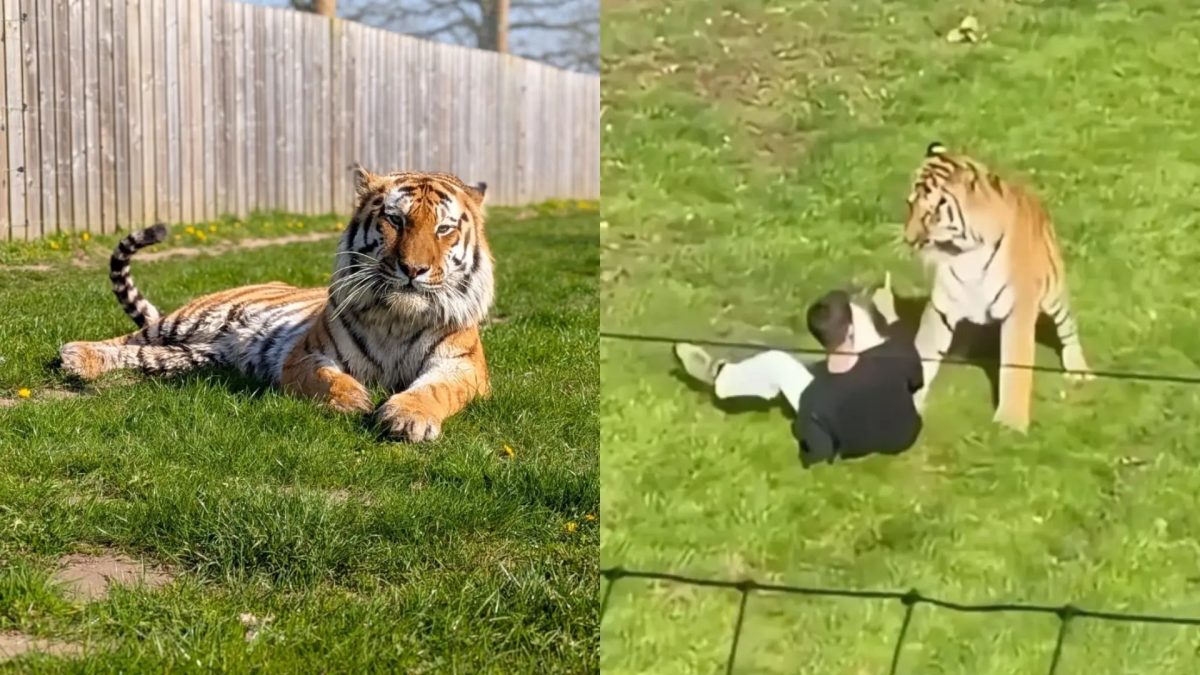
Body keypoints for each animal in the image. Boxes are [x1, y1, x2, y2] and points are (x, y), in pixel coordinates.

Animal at [58, 167, 495, 443]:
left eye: (444, 228)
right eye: (395, 220)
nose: (413, 269)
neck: (398, 317)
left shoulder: (462, 366)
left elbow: (436, 390)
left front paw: (408, 417)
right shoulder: (306, 355)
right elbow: (328, 379)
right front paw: (354, 400)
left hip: (193, 355)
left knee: (143, 354)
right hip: (191, 319)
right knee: (130, 338)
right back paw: (76, 355)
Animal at [902, 142, 1092, 432]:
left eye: (933, 213)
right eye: (910, 205)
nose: (908, 240)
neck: (966, 253)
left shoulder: (1019, 311)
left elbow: (1014, 366)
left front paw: (1010, 423)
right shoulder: (942, 307)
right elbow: (924, 351)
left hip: (1054, 295)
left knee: (1068, 327)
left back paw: (1078, 369)